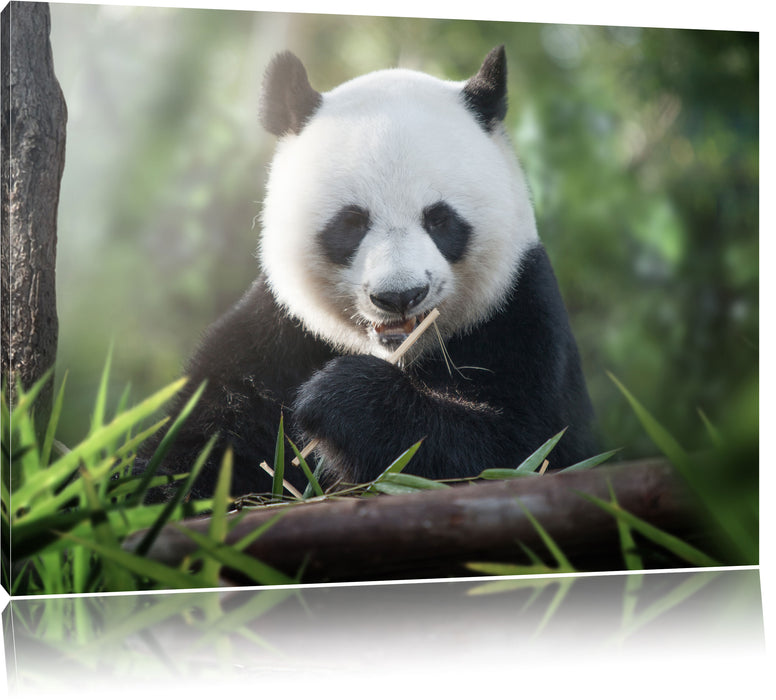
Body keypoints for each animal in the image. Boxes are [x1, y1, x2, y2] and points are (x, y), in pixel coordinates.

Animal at [137, 45, 597, 500]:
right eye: (352, 222)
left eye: (440, 219)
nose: (400, 296)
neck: (398, 353)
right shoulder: (277, 336)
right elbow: (197, 440)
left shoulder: (519, 315)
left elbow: (522, 450)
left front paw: (340, 397)